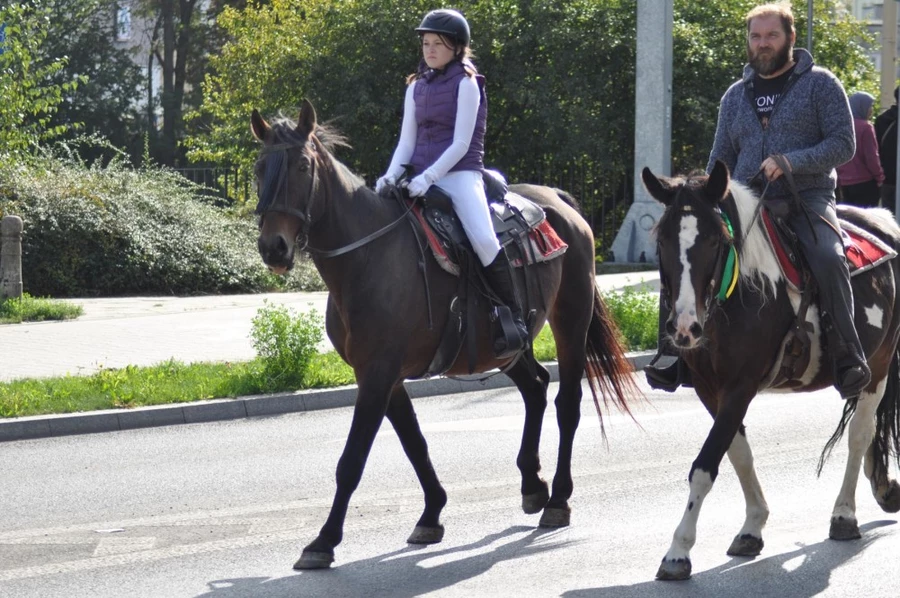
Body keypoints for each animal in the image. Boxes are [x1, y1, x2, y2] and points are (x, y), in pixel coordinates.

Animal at [250, 99, 640, 570]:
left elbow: (352, 459)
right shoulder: (383, 377)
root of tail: (557, 200)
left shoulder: (378, 375)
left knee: (568, 403)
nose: (273, 247)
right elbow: (415, 443)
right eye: (259, 167)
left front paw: (324, 540)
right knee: (535, 387)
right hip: (503, 346)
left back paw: (558, 499)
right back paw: (532, 484)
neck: (368, 256)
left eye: (303, 165)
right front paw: (431, 513)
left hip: (571, 320)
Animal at [642, 160, 900, 581]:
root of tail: (884, 222)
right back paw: (882, 488)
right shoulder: (711, 390)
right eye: (663, 239)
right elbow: (738, 454)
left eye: (713, 240)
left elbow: (705, 465)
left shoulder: (740, 386)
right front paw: (752, 527)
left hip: (877, 366)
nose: (684, 328)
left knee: (859, 435)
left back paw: (844, 514)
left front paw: (678, 551)